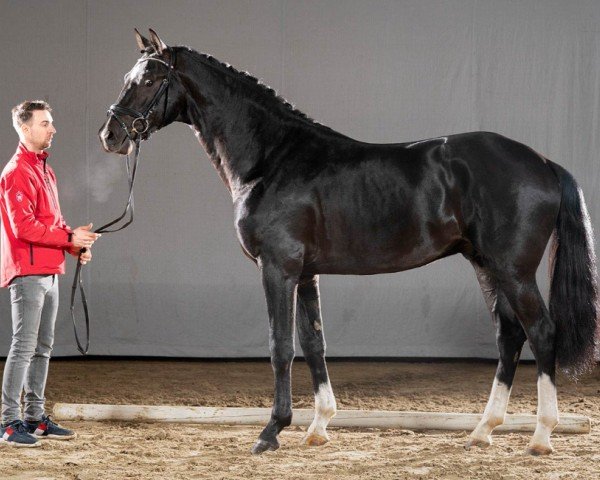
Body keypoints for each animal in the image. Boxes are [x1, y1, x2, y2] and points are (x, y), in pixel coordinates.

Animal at [101, 28, 596, 456]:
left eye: (149, 80)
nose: (111, 136)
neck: (273, 158)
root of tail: (543, 161)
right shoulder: (306, 273)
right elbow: (313, 342)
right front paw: (318, 427)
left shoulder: (277, 268)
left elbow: (280, 347)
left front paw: (271, 431)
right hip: (486, 265)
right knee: (509, 335)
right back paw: (482, 430)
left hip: (513, 270)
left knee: (542, 331)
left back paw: (541, 436)